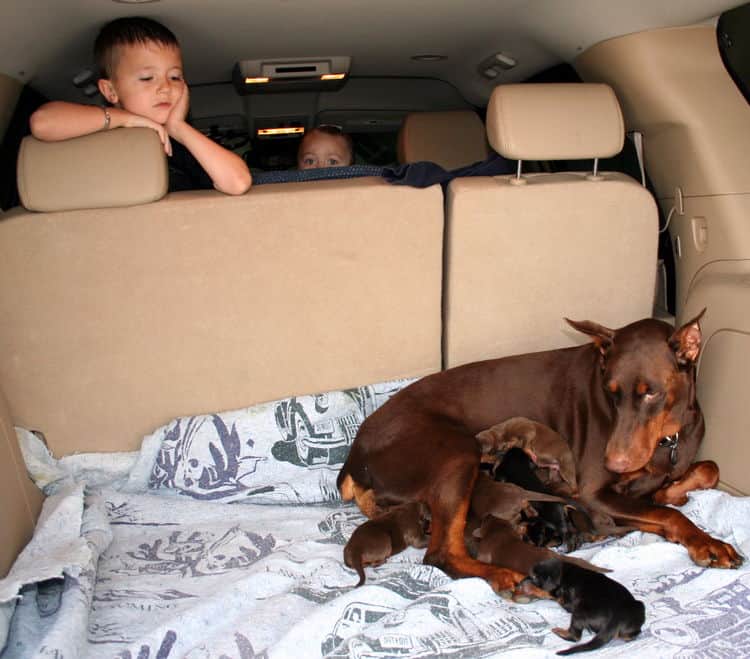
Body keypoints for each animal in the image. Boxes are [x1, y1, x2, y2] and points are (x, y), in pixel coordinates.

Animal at [338, 312, 744, 596]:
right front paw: (707, 543)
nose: (612, 461)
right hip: (456, 453)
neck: (667, 437)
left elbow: (706, 469)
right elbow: (667, 514)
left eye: (651, 392)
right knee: (442, 553)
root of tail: (354, 456)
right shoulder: (593, 494)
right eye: (610, 390)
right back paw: (504, 574)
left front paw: (671, 490)